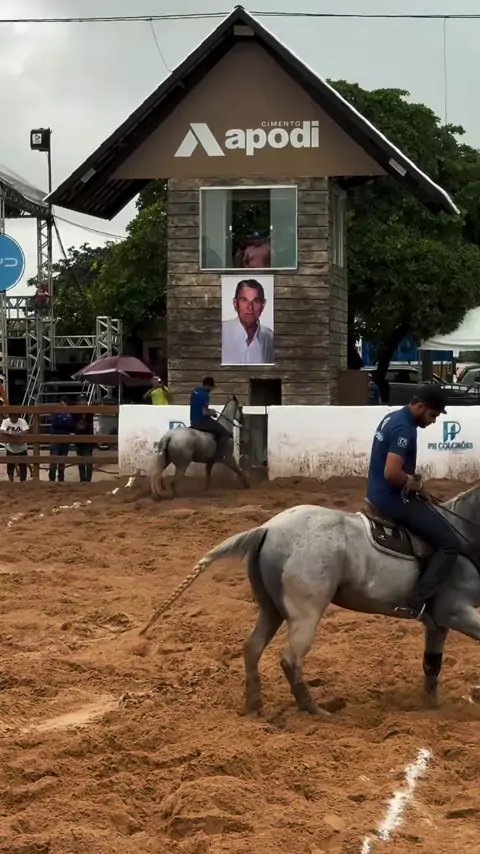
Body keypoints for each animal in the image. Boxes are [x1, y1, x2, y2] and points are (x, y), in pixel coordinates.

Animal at [140, 485, 480, 717]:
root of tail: (268, 528)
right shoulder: (456, 613)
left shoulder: (437, 623)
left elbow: (432, 665)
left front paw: (431, 707)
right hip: (305, 613)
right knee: (290, 658)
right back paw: (313, 710)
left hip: (271, 609)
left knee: (252, 647)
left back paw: (254, 705)